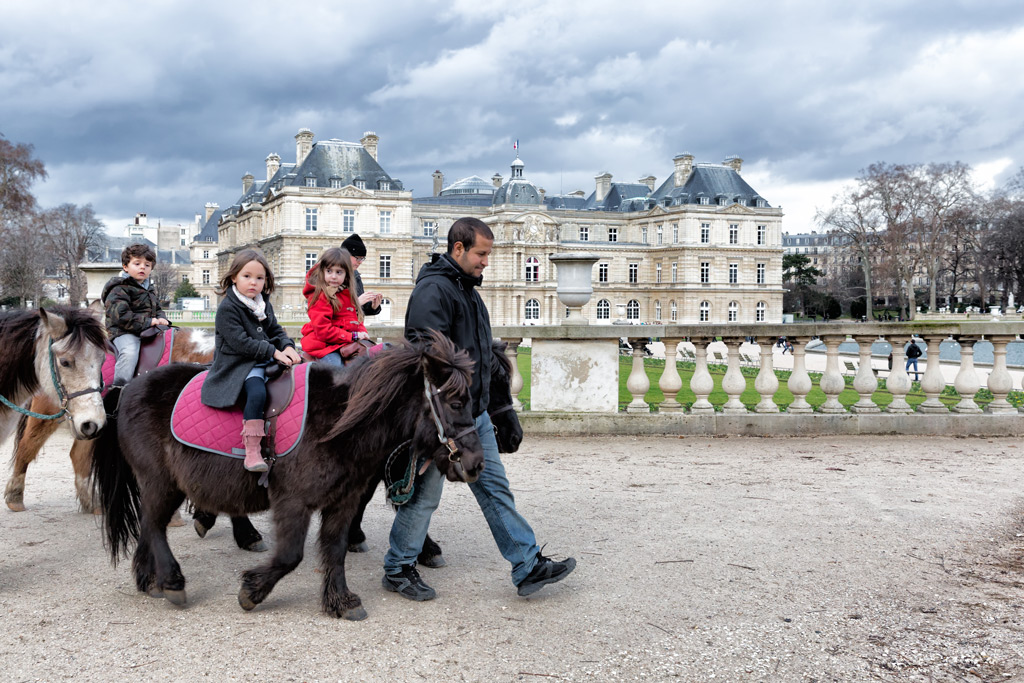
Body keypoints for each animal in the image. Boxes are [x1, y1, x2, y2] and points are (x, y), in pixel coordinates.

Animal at [92, 333, 483, 622]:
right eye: (456, 402)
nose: (476, 462)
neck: (337, 423)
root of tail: (127, 390)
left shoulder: (343, 502)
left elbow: (335, 550)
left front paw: (341, 601)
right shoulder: (293, 502)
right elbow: (291, 555)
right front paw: (252, 591)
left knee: (148, 524)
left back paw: (149, 579)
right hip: (160, 481)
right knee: (154, 524)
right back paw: (172, 581)